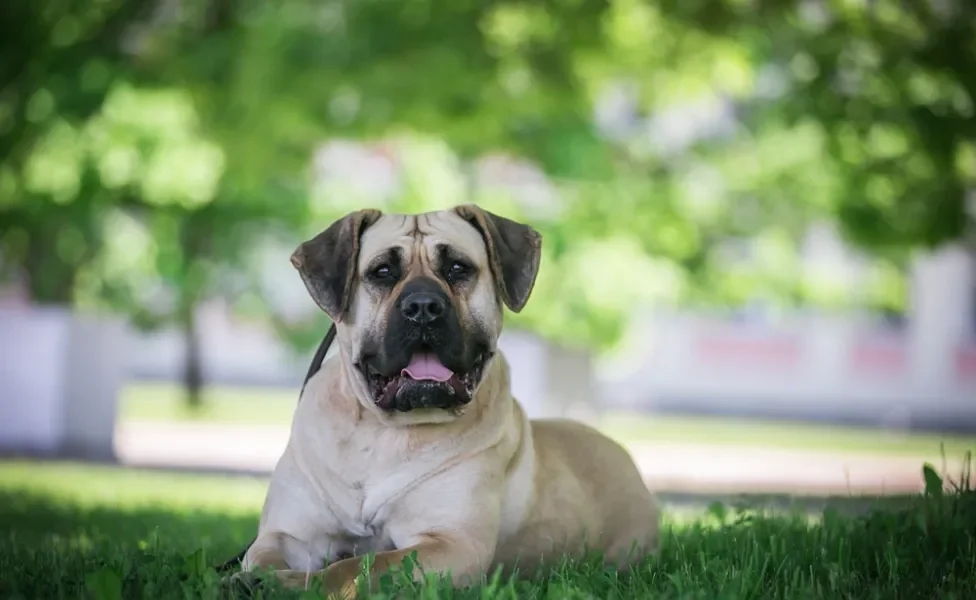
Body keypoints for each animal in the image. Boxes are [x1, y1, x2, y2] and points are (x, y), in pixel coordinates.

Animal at [230, 205, 660, 596]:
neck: (383, 432)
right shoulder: (289, 534)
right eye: (382, 272)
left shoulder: (452, 546)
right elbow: (266, 557)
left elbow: (357, 568)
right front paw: (260, 579)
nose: (423, 306)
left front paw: (294, 585)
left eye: (458, 268)